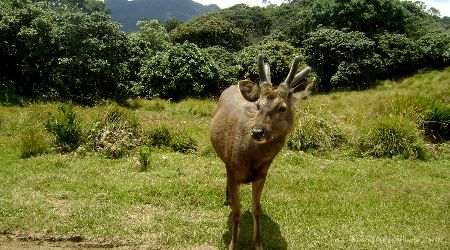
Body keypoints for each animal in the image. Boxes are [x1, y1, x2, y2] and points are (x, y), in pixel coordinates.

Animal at [209, 53, 312, 249]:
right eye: (257, 105)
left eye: (282, 107)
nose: (257, 132)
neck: (249, 157)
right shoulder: (232, 169)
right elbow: (236, 211)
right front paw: (232, 244)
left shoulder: (262, 174)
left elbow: (256, 209)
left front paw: (258, 243)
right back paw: (226, 198)